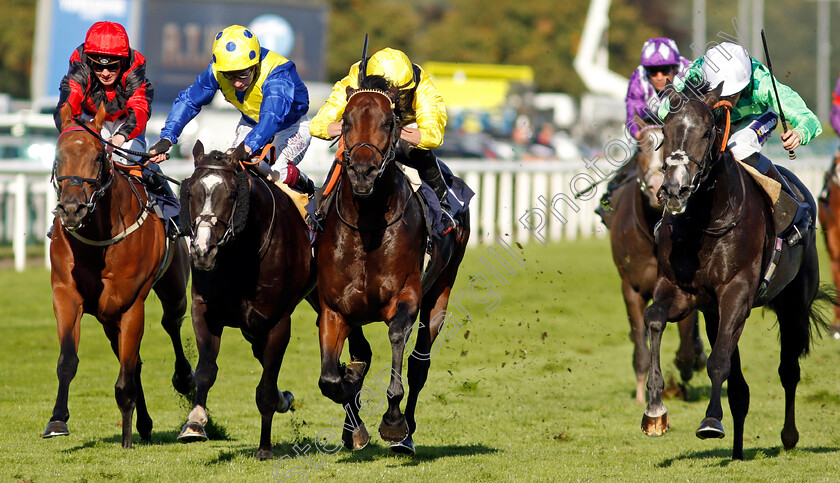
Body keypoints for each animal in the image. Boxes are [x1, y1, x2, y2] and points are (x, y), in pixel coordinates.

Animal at [44, 104, 194, 448]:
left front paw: (126, 436)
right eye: (58, 155)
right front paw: (57, 420)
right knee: (133, 360)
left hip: (173, 289)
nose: (71, 210)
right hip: (107, 317)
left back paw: (184, 379)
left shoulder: (131, 305)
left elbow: (126, 374)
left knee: (170, 324)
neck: (99, 237)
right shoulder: (66, 295)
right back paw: (145, 423)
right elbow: (67, 360)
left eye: (99, 156)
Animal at [174, 142, 316, 460]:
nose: (202, 251)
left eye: (230, 194)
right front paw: (195, 423)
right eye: (191, 193)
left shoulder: (277, 322)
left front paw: (265, 448)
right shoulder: (205, 310)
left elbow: (265, 388)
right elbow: (206, 370)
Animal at [316, 80, 472, 458]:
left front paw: (393, 423)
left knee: (419, 364)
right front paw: (354, 418)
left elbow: (397, 340)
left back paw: (407, 433)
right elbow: (331, 378)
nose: (362, 171)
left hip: (441, 288)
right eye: (345, 122)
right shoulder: (333, 308)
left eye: (388, 123)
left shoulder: (406, 297)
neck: (368, 228)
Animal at [608, 125, 704, 404]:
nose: (655, 188)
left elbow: (686, 341)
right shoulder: (632, 289)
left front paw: (688, 365)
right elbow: (641, 342)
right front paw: (642, 393)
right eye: (641, 149)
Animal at [644, 82, 828, 462]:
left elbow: (718, 362)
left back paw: (789, 436)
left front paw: (710, 422)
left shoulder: (737, 292)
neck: (705, 222)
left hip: (792, 304)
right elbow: (654, 318)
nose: (674, 190)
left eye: (705, 131)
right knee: (739, 386)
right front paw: (655, 410)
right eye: (666, 131)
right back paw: (739, 450)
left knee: (789, 370)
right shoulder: (684, 291)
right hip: (715, 314)